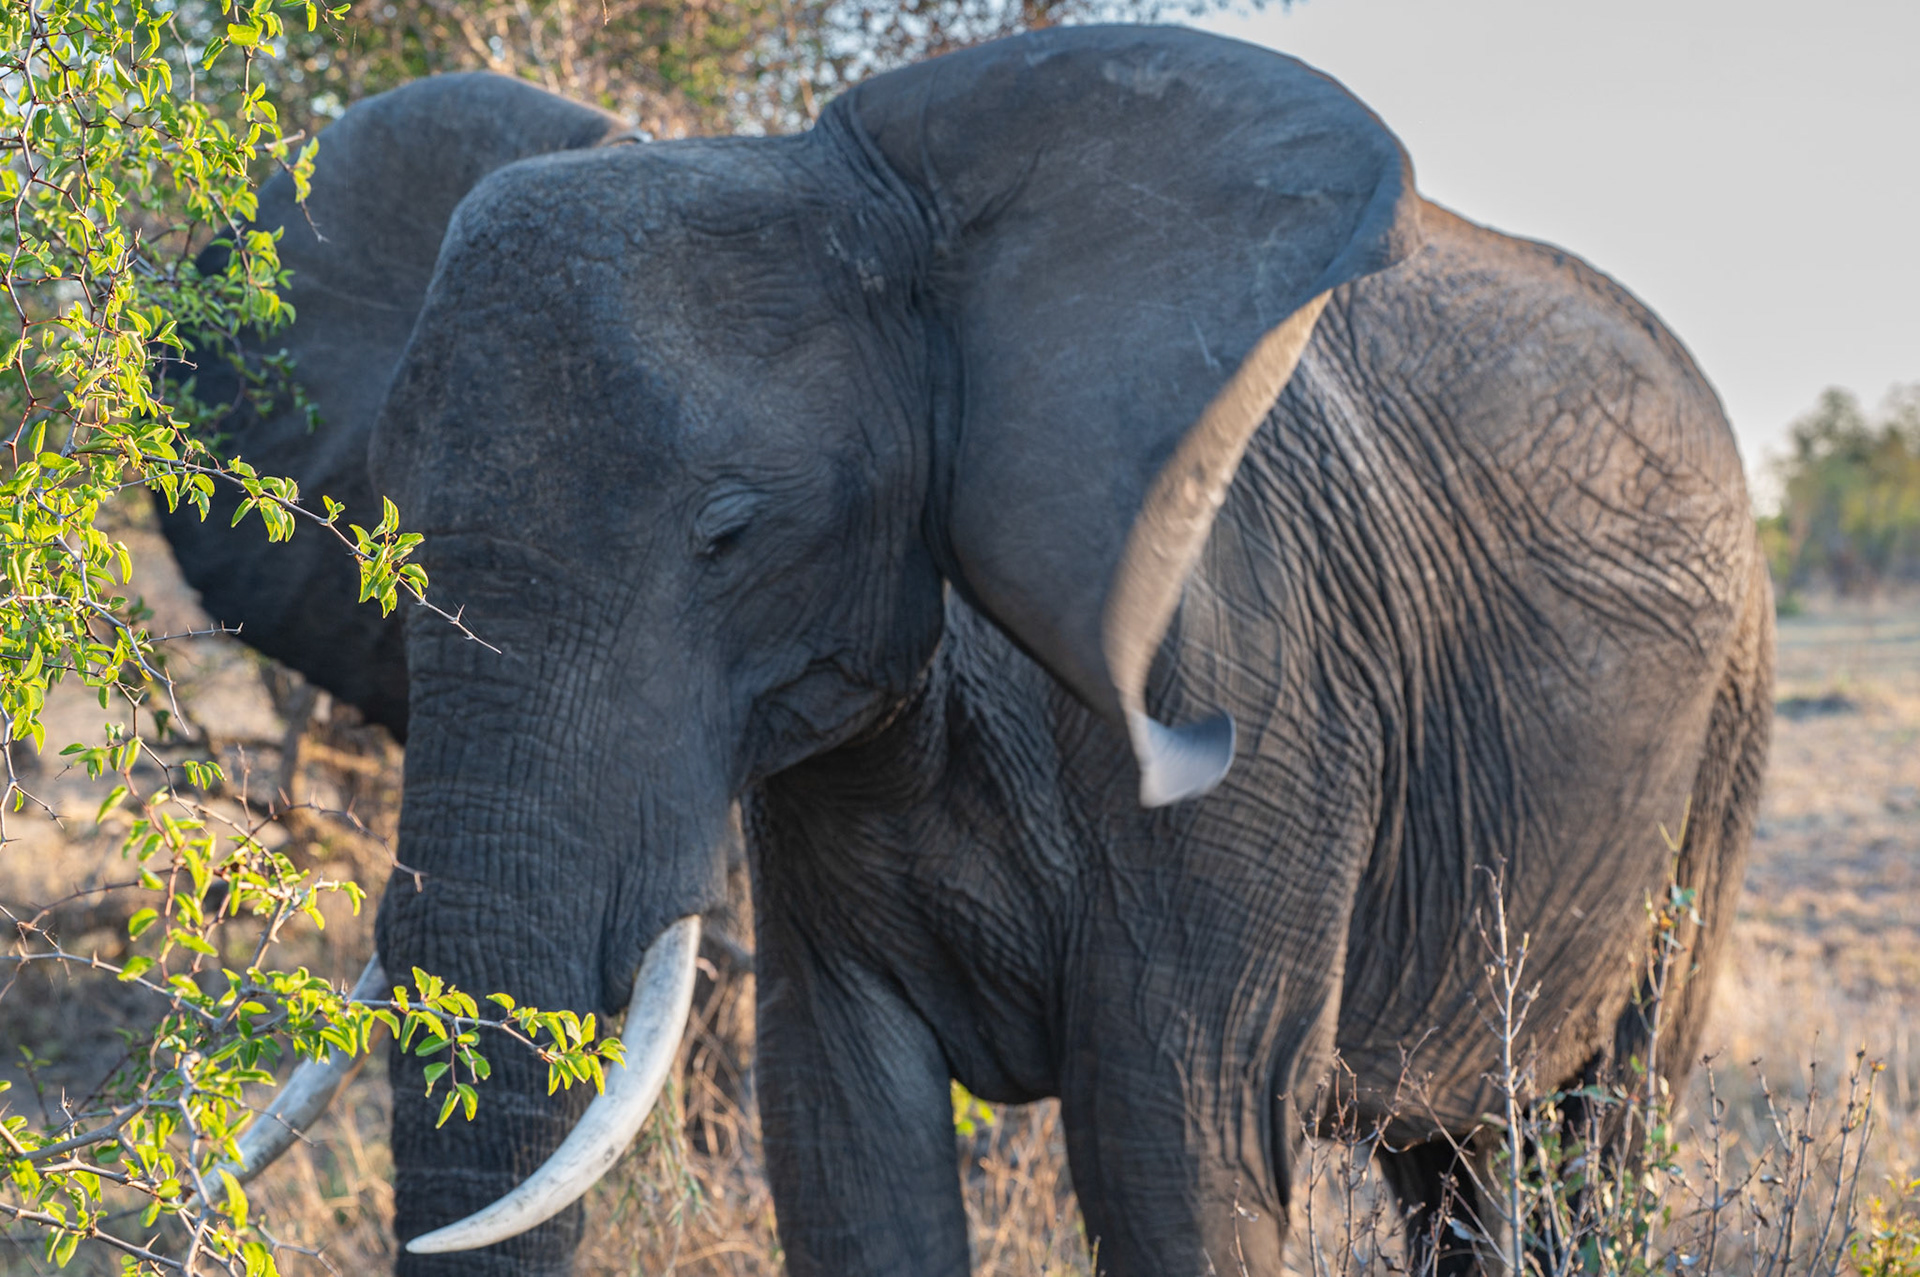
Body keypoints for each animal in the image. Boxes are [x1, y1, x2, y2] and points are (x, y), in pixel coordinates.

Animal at [160, 25, 1775, 1277]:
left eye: (730, 535)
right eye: (386, 534)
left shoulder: (1254, 695)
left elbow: (1176, 1145)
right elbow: (844, 1136)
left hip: (1722, 735)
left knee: (1599, 1133)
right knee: (1460, 1165)